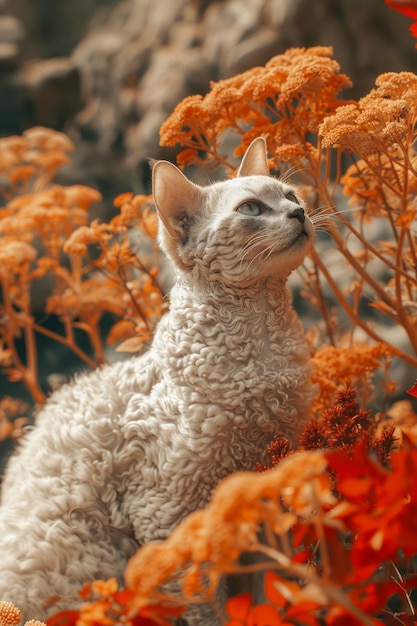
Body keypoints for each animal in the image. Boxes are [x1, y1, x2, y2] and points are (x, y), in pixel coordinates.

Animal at [0, 136, 316, 620]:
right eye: (251, 209)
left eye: (291, 195)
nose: (299, 212)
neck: (263, 352)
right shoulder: (165, 511)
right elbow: (200, 602)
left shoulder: (261, 484)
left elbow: (265, 584)